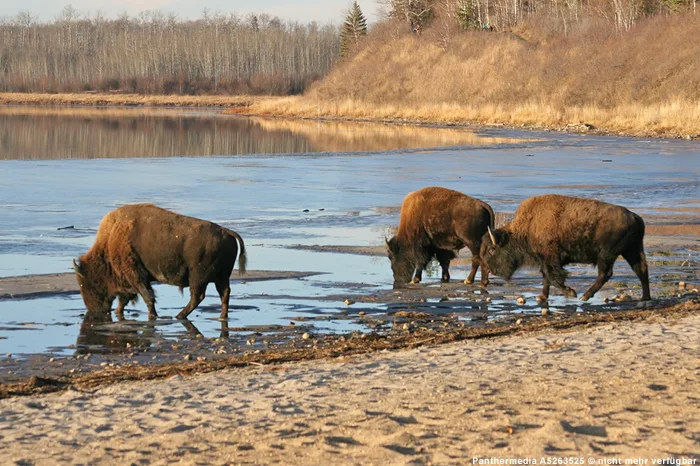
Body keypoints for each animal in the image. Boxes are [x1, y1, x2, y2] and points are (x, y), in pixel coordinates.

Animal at [72, 204, 247, 320]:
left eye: (84, 283)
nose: (94, 310)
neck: (110, 240)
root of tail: (226, 231)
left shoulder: (136, 276)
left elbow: (147, 296)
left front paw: (153, 316)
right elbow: (128, 297)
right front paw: (118, 312)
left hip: (198, 278)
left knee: (198, 296)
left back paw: (179, 316)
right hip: (221, 277)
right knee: (223, 294)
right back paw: (221, 316)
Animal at [482, 194, 652, 300]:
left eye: (491, 250)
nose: (493, 271)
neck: (528, 225)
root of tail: (635, 217)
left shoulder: (551, 258)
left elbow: (552, 276)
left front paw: (571, 293)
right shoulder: (545, 260)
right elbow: (546, 276)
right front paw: (542, 297)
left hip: (606, 254)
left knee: (606, 273)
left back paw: (585, 296)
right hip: (631, 250)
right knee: (641, 269)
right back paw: (645, 298)